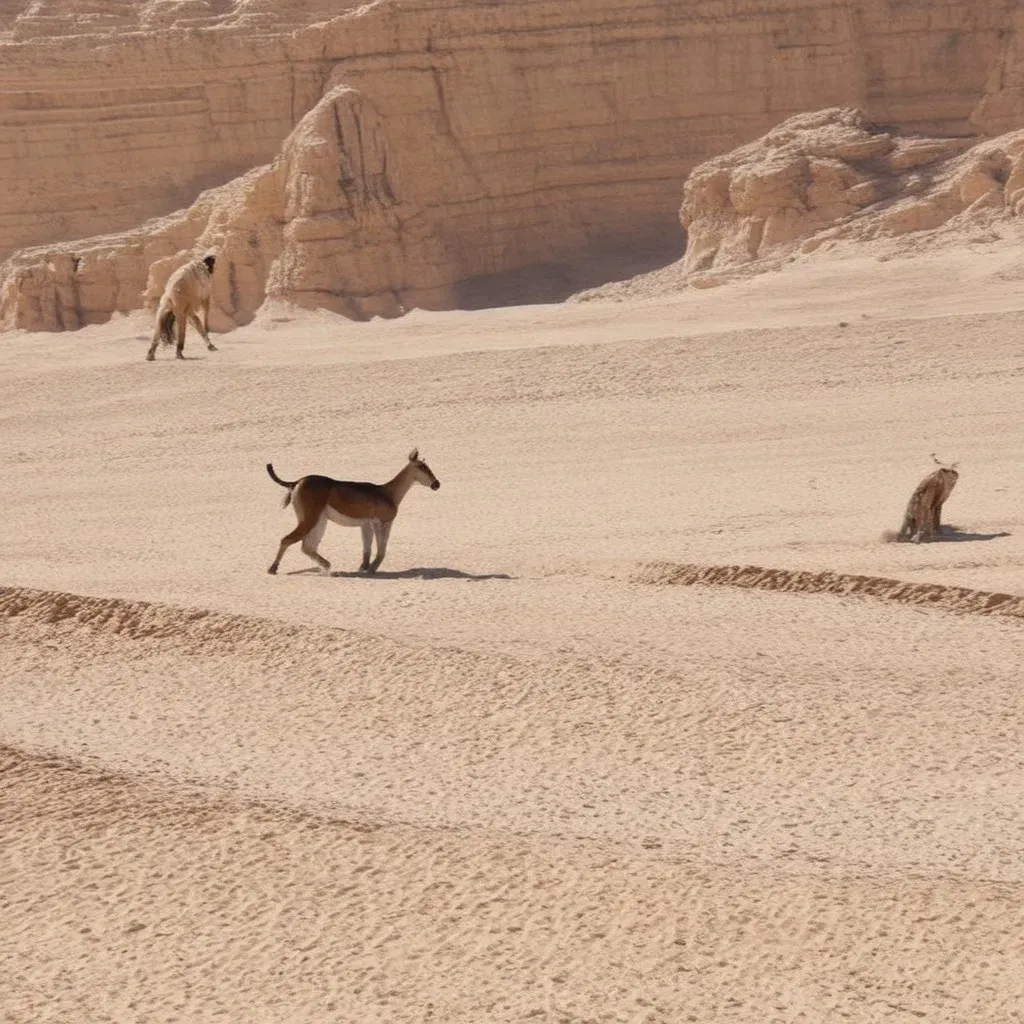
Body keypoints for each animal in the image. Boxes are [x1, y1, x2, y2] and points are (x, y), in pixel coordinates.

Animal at [264, 450, 440, 577]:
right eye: (421, 467)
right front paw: (372, 569)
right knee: (287, 540)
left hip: (319, 520)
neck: (388, 492)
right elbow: (381, 550)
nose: (436, 484)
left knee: (307, 546)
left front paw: (364, 567)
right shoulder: (383, 523)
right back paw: (273, 568)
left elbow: (367, 549)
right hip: (310, 519)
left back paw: (327, 567)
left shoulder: (366, 525)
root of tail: (297, 482)